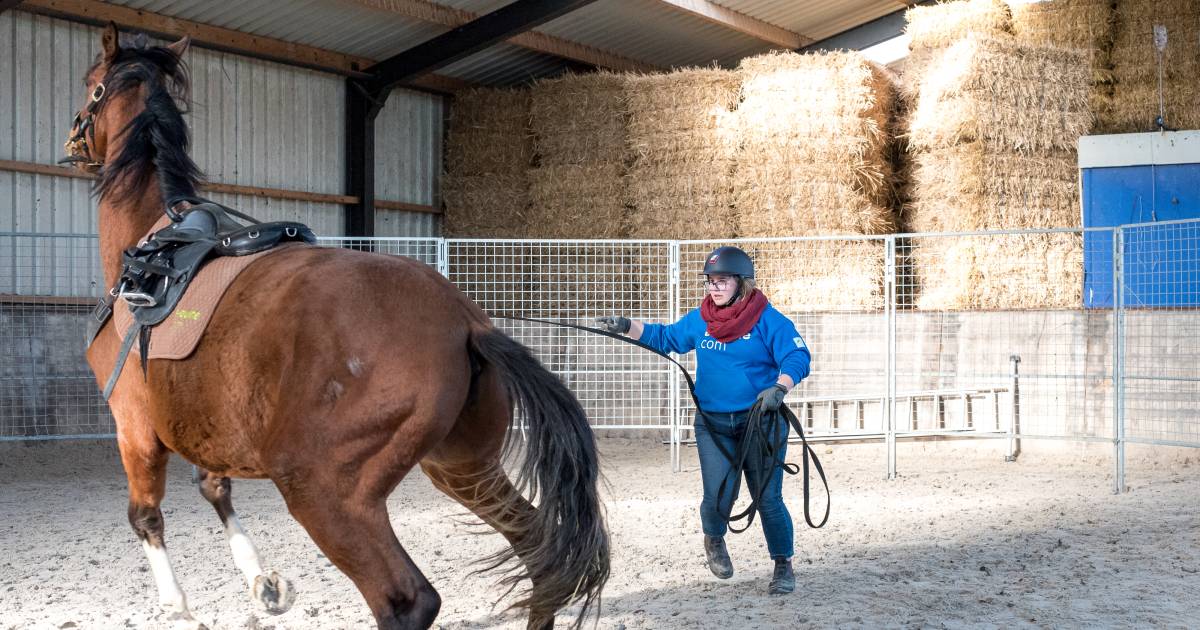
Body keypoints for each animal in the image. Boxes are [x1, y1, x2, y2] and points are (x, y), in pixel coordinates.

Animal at [62, 24, 609, 630]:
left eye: (90, 84)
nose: (72, 145)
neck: (156, 249)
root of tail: (464, 324)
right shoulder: (207, 432)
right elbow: (214, 488)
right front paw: (264, 585)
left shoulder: (134, 427)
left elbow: (146, 517)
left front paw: (178, 604)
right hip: (463, 469)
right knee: (538, 548)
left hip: (325, 493)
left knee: (407, 599)